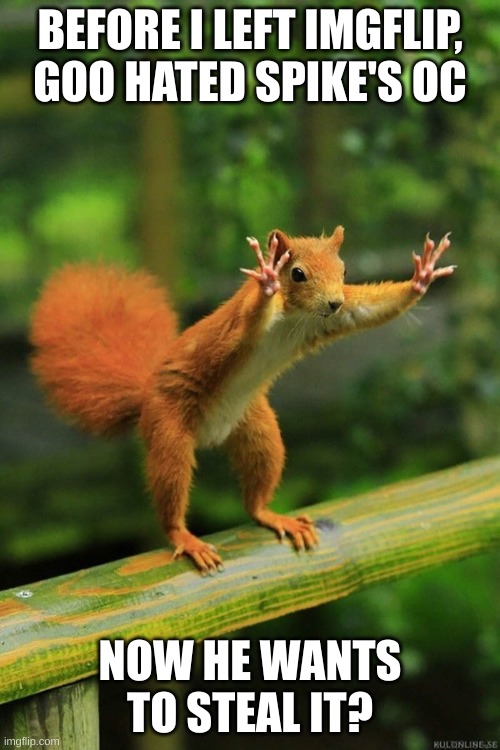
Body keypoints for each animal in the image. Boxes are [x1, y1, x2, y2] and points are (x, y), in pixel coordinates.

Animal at [30, 227, 454, 572]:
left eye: (345, 271)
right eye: (296, 273)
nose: (333, 301)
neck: (294, 316)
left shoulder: (334, 318)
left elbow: (368, 309)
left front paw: (422, 277)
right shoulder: (238, 327)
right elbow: (247, 322)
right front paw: (266, 278)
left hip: (258, 429)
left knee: (255, 493)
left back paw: (272, 515)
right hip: (168, 429)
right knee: (170, 488)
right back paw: (184, 537)